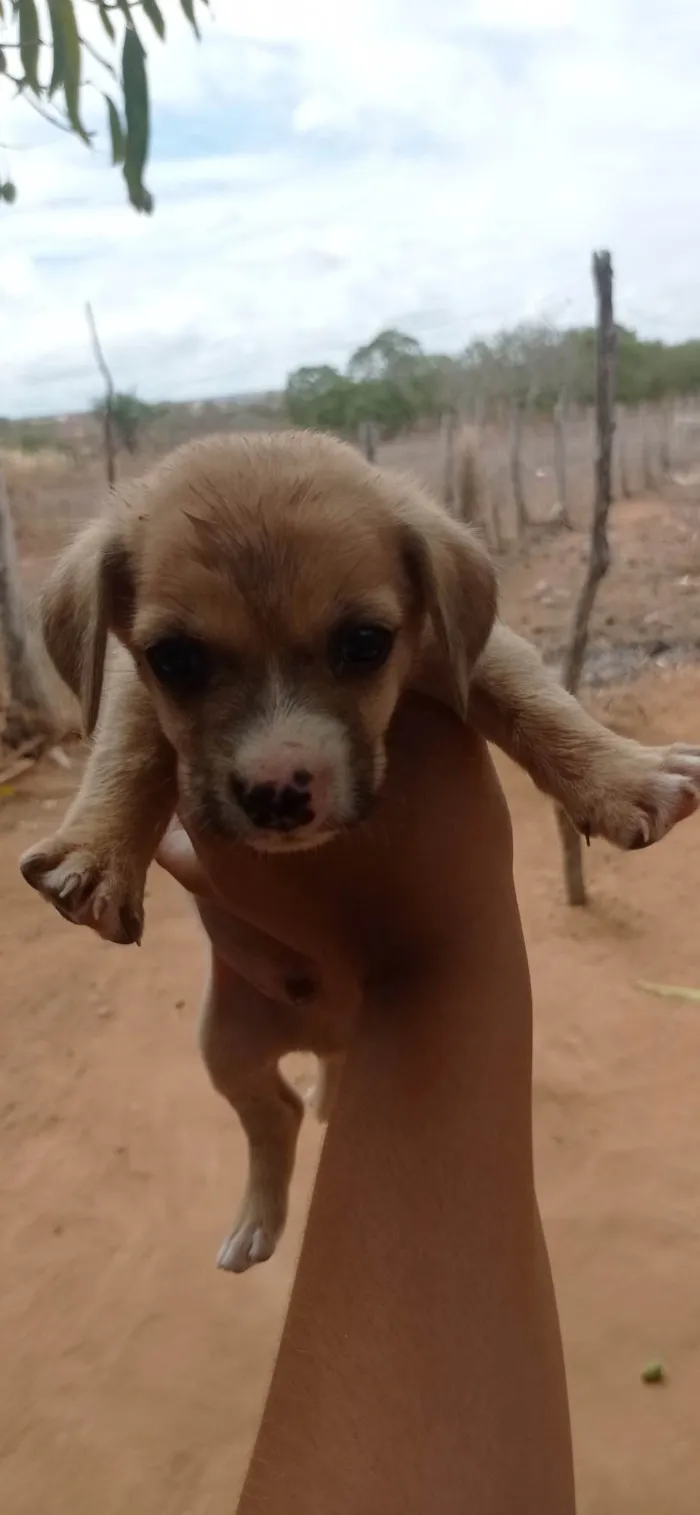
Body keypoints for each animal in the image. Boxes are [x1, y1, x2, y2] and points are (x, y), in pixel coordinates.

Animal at [19, 433, 700, 1272]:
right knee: (273, 1112)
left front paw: (624, 775)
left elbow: (541, 703)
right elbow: (130, 743)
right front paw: (97, 852)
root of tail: (326, 1032)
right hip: (224, 1045)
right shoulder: (128, 678)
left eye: (366, 644)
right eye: (175, 659)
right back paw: (258, 1219)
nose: (278, 791)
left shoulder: (469, 651)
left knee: (307, 1093)